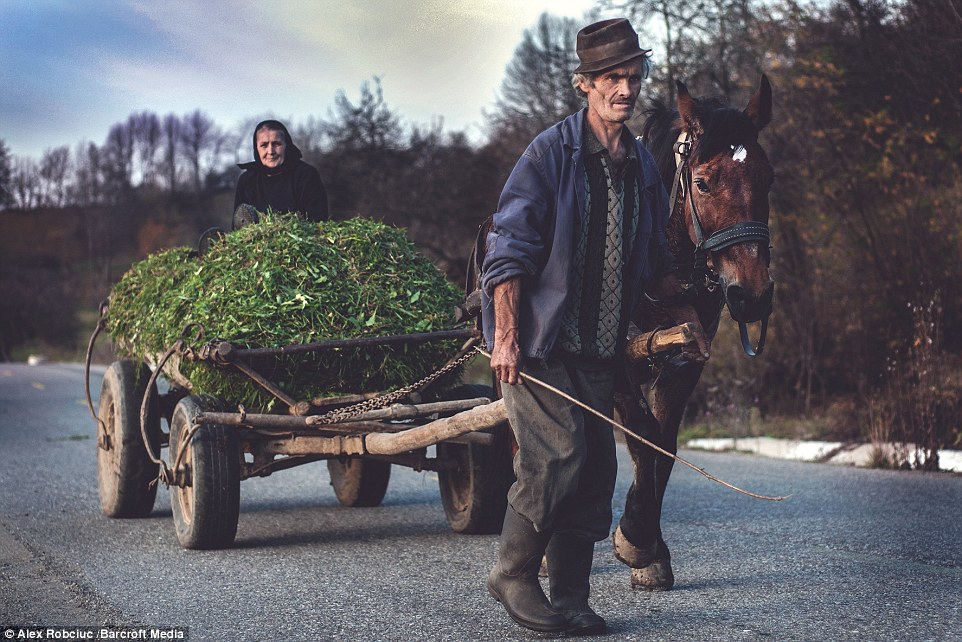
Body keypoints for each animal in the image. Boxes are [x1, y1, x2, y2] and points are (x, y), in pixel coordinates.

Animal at [612, 74, 776, 584]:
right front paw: (635, 537)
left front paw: (651, 547)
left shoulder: (685, 360)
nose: (751, 294)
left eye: (768, 176)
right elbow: (641, 436)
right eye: (701, 183)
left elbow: (663, 446)